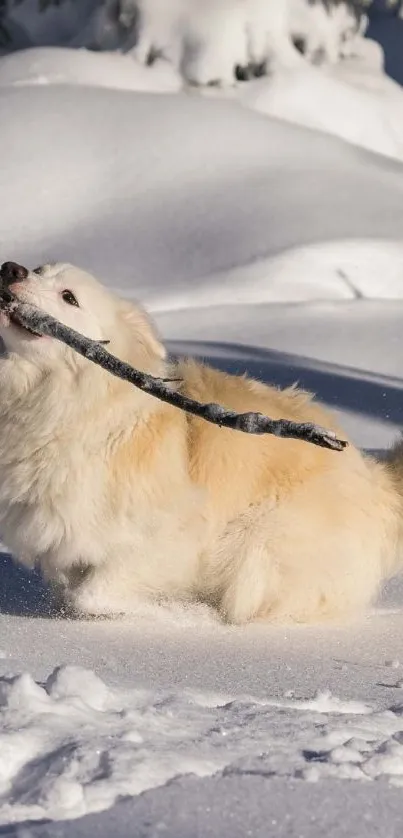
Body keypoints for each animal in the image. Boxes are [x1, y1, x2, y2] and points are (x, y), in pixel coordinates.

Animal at [0, 262, 400, 624]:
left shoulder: (169, 538)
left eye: (69, 297)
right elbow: (71, 588)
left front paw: (173, 612)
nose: (11, 269)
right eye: (38, 269)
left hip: (258, 545)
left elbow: (91, 597)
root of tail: (375, 478)